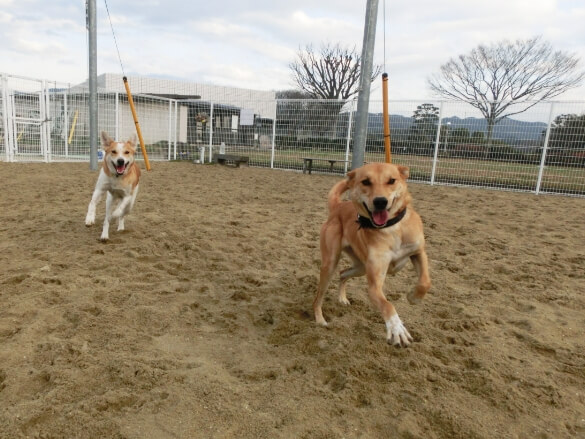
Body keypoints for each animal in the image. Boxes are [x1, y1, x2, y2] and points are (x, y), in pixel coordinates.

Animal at [312, 163, 432, 348]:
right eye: (366, 182)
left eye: (392, 180)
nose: (380, 201)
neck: (391, 228)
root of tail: (338, 206)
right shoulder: (375, 285)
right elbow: (387, 305)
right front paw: (397, 328)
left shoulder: (419, 252)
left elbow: (425, 281)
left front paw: (414, 298)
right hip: (330, 264)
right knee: (319, 296)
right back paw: (320, 319)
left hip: (360, 267)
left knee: (343, 273)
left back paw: (342, 298)